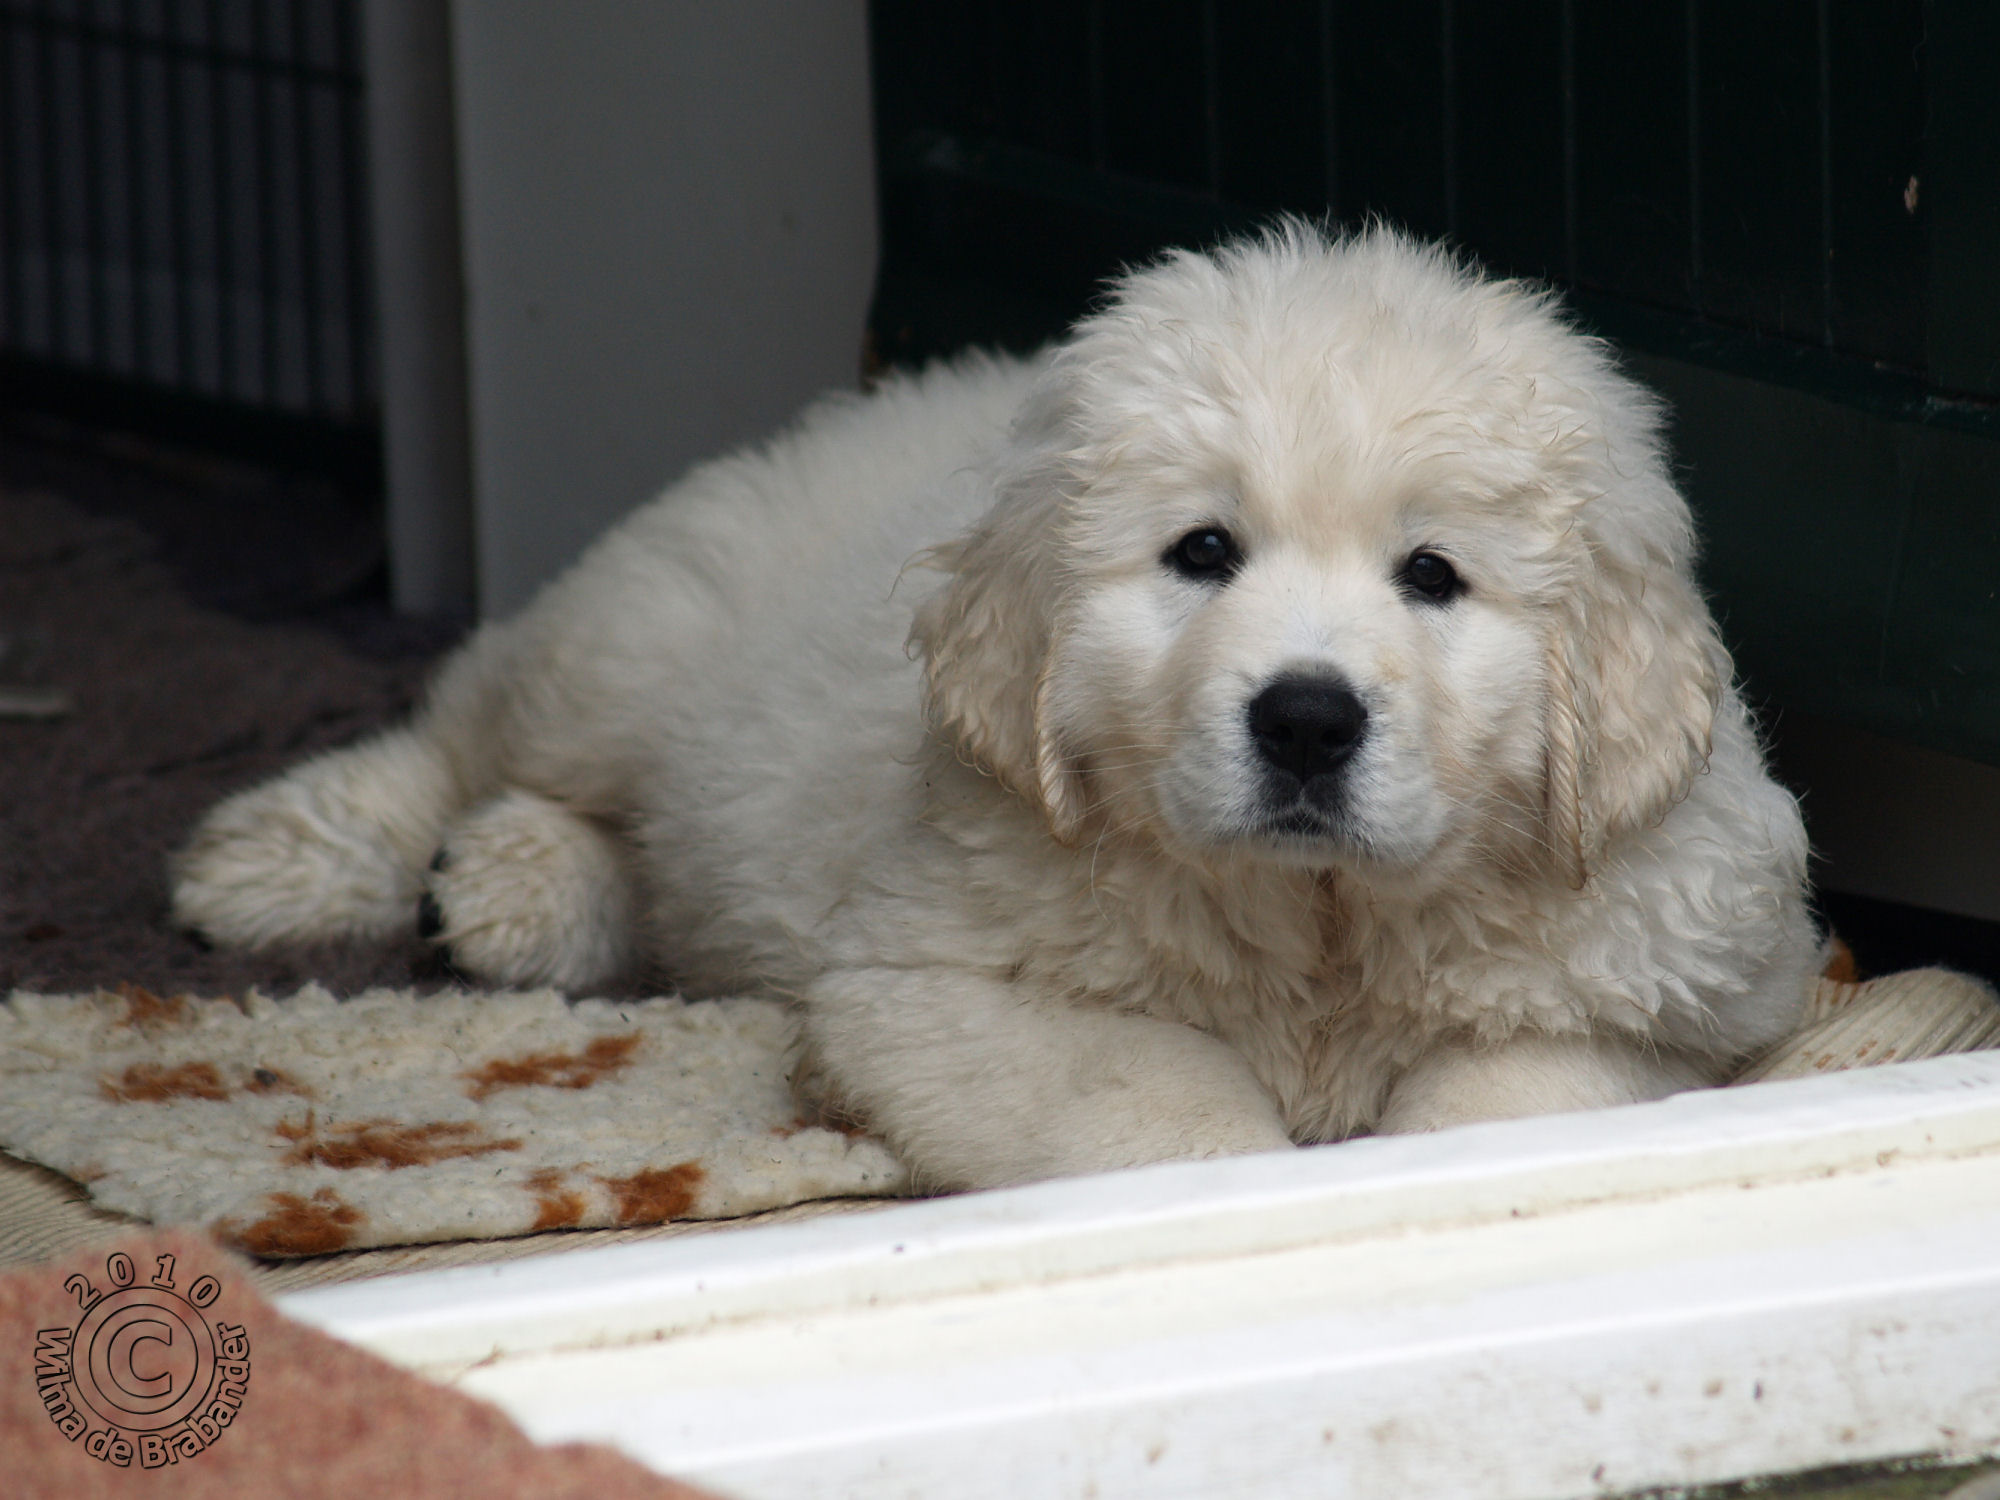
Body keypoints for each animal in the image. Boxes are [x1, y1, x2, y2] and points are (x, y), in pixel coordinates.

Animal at [176, 226, 1832, 1184]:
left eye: (1434, 576)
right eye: (1202, 553)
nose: (1305, 720)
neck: (1319, 926)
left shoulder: (1676, 983)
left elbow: (1511, 1106)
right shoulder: (935, 981)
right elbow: (1157, 1113)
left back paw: (518, 893)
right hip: (635, 635)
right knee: (473, 720)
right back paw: (289, 858)